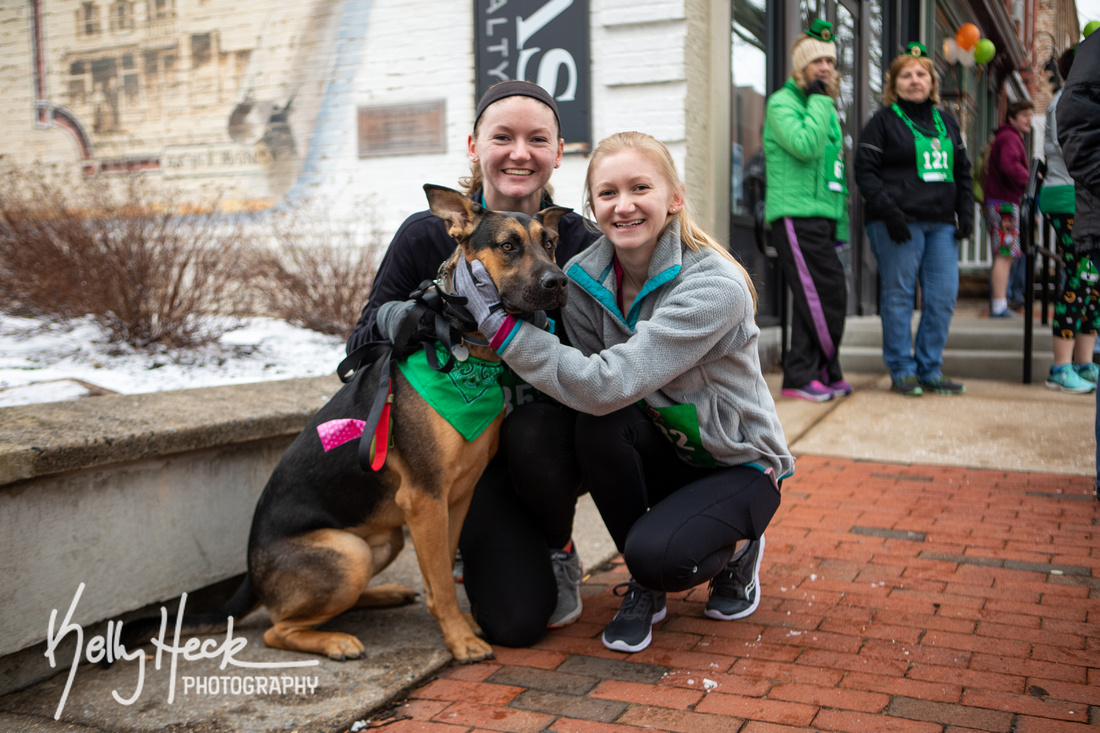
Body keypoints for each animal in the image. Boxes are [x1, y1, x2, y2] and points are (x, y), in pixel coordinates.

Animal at [130, 183, 567, 660]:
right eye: (508, 246)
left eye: (550, 244)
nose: (559, 282)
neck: (458, 344)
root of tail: (250, 575)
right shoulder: (424, 499)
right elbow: (441, 583)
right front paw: (460, 639)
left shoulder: (454, 499)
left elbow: (440, 578)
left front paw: (460, 626)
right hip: (348, 552)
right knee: (276, 629)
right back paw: (336, 640)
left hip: (385, 537)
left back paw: (385, 594)